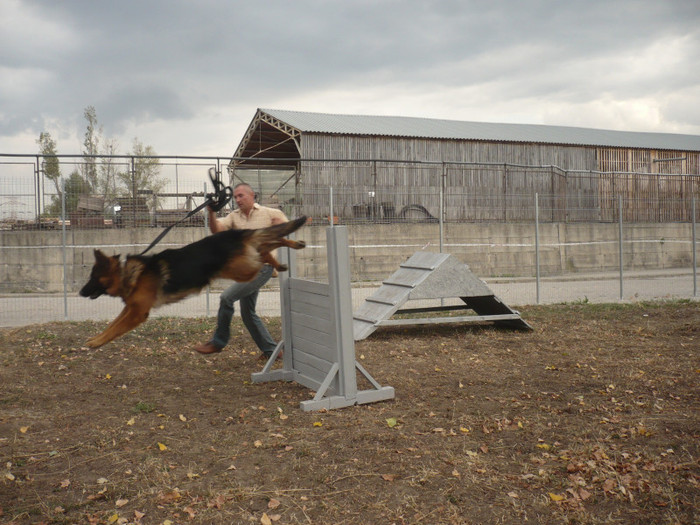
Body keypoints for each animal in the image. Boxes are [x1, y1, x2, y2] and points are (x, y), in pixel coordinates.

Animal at [79, 216, 306, 348]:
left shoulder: (137, 313)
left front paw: (96, 343)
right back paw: (290, 249)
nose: (81, 292)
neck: (128, 273)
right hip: (244, 266)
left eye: (92, 277)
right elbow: (112, 325)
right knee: (266, 243)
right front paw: (96, 339)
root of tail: (236, 233)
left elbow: (116, 329)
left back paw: (284, 256)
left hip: (243, 269)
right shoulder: (129, 309)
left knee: (266, 248)